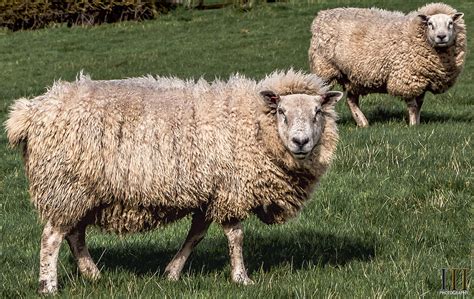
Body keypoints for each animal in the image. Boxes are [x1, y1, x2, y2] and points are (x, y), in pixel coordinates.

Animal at [5, 69, 342, 294]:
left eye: (317, 112)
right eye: (282, 111)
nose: (301, 142)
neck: (253, 124)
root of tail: (32, 111)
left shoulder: (210, 193)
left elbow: (196, 235)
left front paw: (172, 272)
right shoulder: (230, 189)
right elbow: (236, 237)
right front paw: (241, 278)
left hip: (81, 191)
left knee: (74, 235)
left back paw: (93, 275)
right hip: (65, 184)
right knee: (51, 237)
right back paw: (48, 285)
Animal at [308, 2, 466, 126]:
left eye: (450, 24)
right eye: (430, 24)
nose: (441, 36)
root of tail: (322, 15)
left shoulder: (422, 80)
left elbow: (419, 104)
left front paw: (418, 123)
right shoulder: (406, 78)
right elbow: (413, 105)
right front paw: (413, 126)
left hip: (353, 76)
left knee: (351, 100)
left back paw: (363, 123)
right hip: (325, 69)